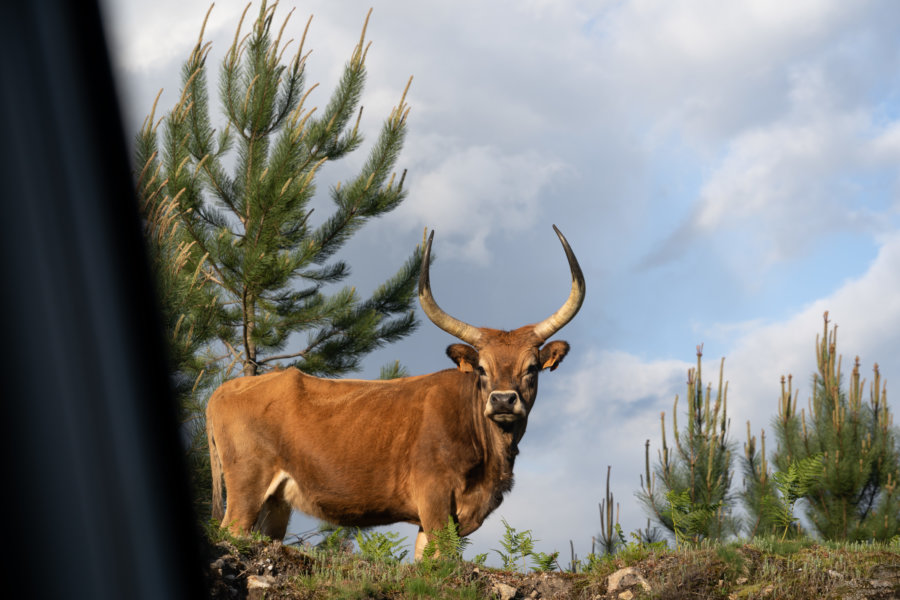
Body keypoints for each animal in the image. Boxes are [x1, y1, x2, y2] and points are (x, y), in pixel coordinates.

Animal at [206, 225, 584, 556]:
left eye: (531, 368)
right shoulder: (434, 498)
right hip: (246, 486)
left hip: (276, 504)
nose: (503, 400)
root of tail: (226, 389)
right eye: (481, 369)